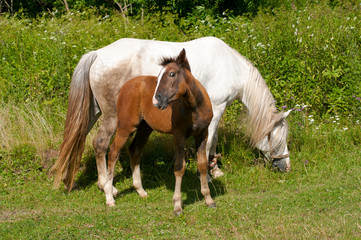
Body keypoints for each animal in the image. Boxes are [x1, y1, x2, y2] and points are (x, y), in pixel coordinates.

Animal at [50, 36, 290, 196]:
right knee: (100, 144)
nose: (287, 167)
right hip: (112, 117)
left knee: (80, 139)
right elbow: (209, 141)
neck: (230, 65)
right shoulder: (217, 108)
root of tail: (98, 53)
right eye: (278, 138)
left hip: (93, 112)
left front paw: (215, 170)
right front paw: (208, 174)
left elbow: (213, 141)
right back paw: (108, 187)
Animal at [105, 49, 215, 215]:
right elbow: (179, 167)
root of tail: (126, 85)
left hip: (145, 128)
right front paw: (177, 205)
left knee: (135, 150)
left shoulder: (202, 134)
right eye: (158, 78)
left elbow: (202, 164)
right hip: (125, 127)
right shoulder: (179, 135)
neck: (194, 107)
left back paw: (140, 190)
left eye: (172, 74)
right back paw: (110, 197)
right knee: (113, 152)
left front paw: (208, 199)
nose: (156, 101)